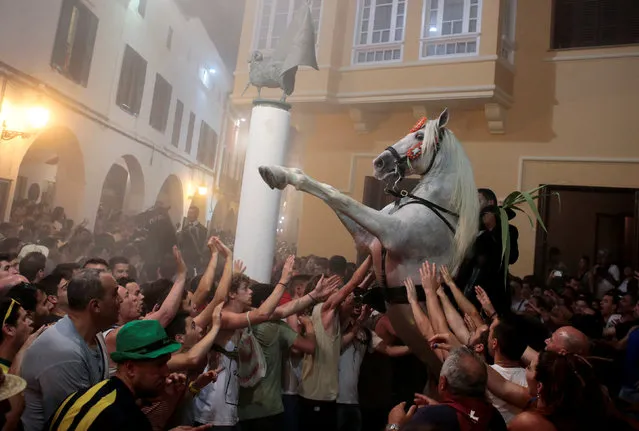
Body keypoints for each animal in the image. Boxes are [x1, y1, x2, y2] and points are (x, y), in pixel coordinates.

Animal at [258, 109, 478, 372]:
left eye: (420, 136)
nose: (379, 162)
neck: (430, 204)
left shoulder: (390, 233)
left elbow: (338, 197)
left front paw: (278, 174)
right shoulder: (369, 239)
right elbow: (332, 193)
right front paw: (276, 171)